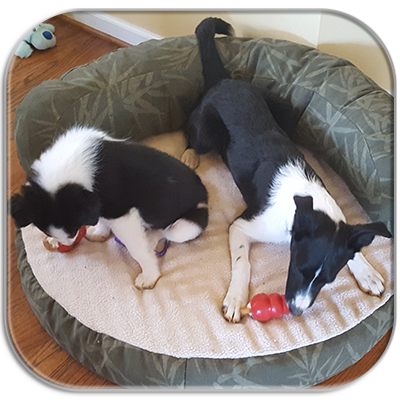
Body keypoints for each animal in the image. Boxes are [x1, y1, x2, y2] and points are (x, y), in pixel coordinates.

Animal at [10, 126, 208, 290]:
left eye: (73, 231)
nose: (68, 244)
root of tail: (204, 194)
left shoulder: (121, 215)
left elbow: (137, 249)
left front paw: (149, 276)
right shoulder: (101, 206)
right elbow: (103, 222)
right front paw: (99, 234)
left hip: (185, 227)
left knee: (166, 232)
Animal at [184, 18, 390, 324]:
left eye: (327, 280)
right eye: (299, 269)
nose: (296, 311)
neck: (305, 206)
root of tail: (225, 81)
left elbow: (351, 246)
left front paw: (366, 271)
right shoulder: (241, 225)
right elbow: (242, 262)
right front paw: (236, 298)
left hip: (286, 109)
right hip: (207, 130)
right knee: (191, 133)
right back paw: (189, 155)